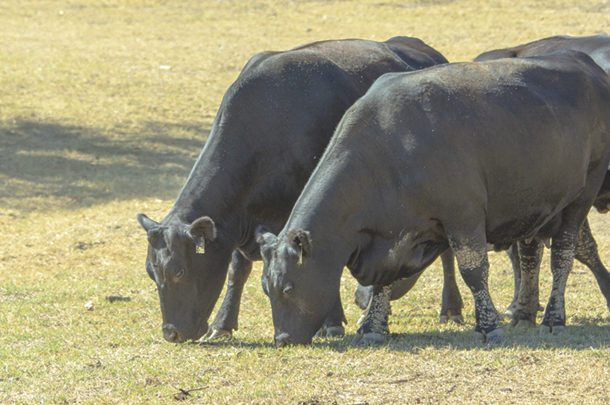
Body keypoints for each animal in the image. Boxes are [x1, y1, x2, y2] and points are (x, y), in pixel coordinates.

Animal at [137, 37, 446, 340]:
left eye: (179, 271)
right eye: (152, 272)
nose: (171, 333)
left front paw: (331, 323)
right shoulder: (240, 220)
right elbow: (238, 269)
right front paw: (222, 324)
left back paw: (448, 309)